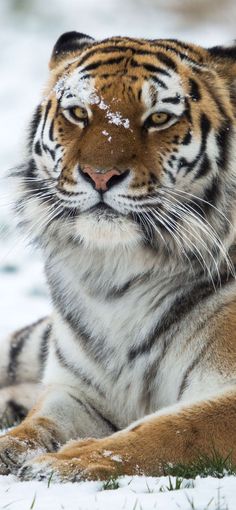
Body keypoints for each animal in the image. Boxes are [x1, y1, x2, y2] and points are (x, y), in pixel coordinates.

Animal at [0, 31, 236, 482]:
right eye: (79, 113)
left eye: (158, 118)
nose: (100, 176)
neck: (117, 274)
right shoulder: (77, 389)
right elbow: (34, 424)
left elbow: (173, 429)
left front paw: (67, 463)